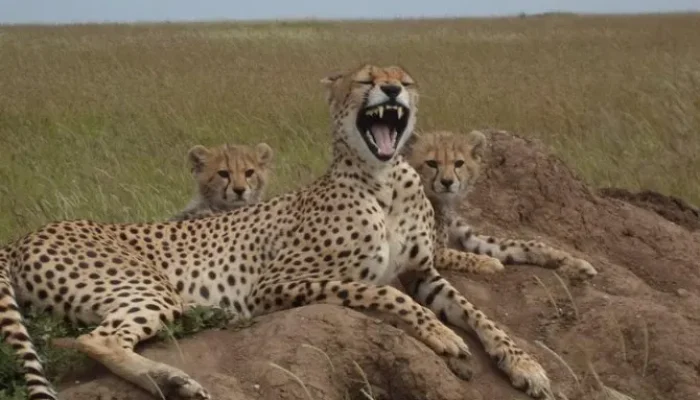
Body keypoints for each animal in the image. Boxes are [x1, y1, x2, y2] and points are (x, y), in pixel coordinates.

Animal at [0, 64, 553, 400]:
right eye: (366, 79)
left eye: (406, 80)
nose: (392, 91)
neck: (385, 178)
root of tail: (25, 235)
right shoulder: (274, 286)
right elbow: (389, 296)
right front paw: (441, 334)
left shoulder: (422, 271)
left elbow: (481, 316)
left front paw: (525, 366)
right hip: (147, 289)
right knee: (94, 339)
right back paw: (173, 380)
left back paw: (172, 380)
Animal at [404, 129, 598, 280]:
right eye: (431, 163)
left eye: (459, 163)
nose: (447, 182)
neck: (441, 201)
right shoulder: (423, 251)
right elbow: (456, 254)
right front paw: (488, 262)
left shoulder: (467, 237)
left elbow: (518, 245)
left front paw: (568, 259)